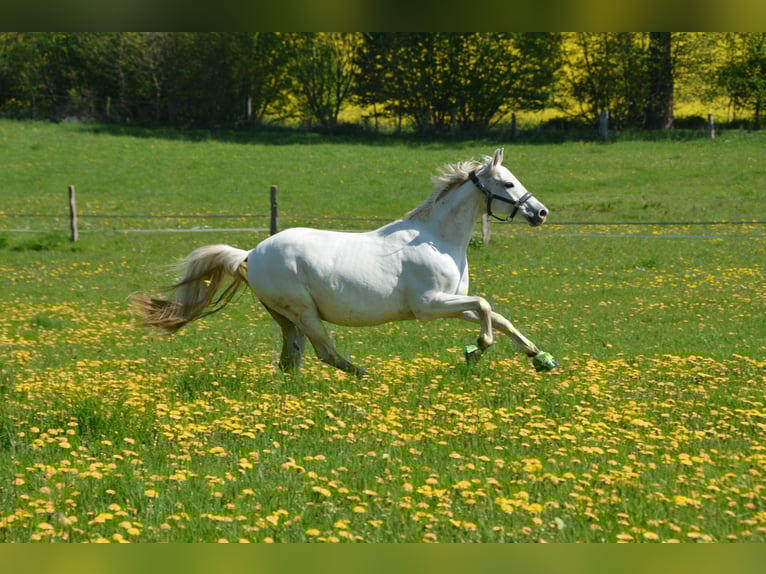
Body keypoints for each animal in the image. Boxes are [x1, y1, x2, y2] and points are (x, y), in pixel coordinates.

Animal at [131, 148, 558, 376]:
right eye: (507, 183)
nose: (540, 212)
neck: (438, 239)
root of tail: (251, 253)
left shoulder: (452, 304)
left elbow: (498, 316)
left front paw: (541, 358)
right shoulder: (430, 306)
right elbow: (486, 309)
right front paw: (476, 350)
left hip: (285, 318)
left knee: (291, 360)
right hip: (303, 311)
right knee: (324, 352)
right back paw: (364, 374)